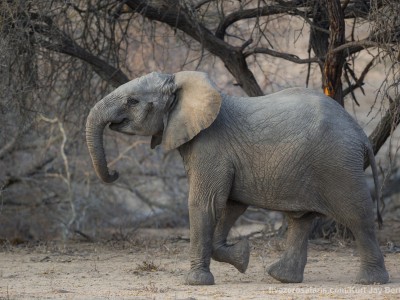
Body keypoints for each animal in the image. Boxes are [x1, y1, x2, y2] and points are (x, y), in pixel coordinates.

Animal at [86, 70, 390, 286]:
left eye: (132, 101)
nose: (115, 172)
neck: (183, 85)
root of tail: (361, 134)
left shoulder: (210, 146)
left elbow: (205, 204)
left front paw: (196, 283)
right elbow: (230, 206)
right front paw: (242, 257)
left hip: (337, 164)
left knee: (357, 216)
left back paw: (370, 281)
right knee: (301, 221)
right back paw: (281, 277)